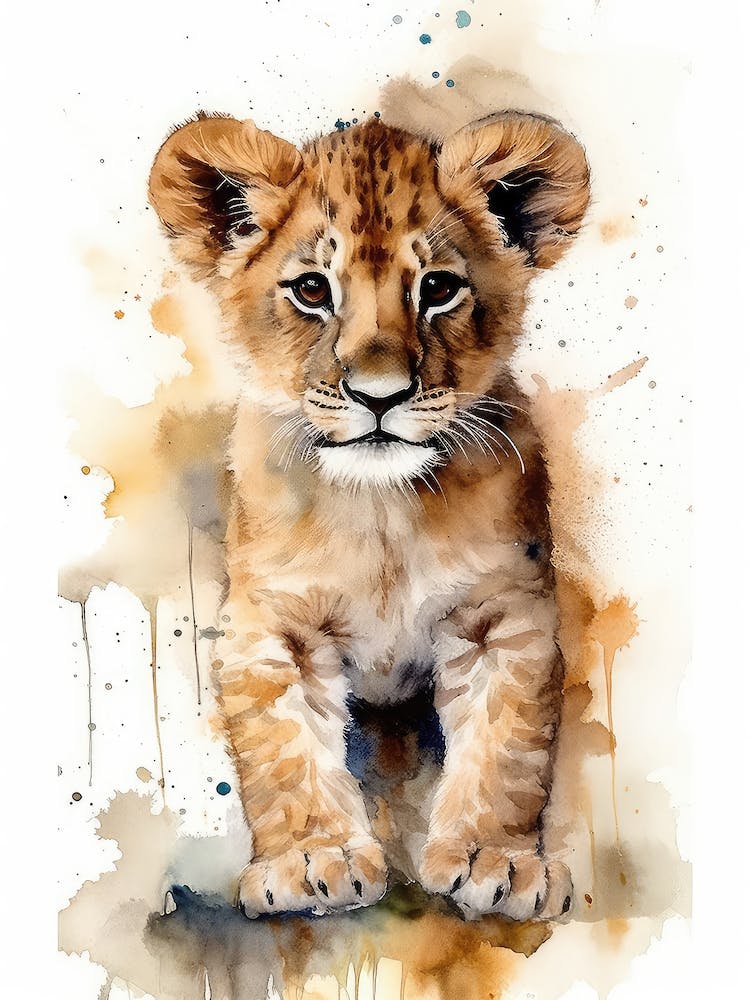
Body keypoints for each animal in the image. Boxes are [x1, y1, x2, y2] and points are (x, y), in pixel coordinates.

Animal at [148, 109, 590, 922]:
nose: (379, 396)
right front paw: (311, 862)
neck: (381, 509)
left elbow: (506, 750)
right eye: (312, 289)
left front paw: (494, 861)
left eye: (439, 288)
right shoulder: (269, 624)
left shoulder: (503, 615)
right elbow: (283, 752)